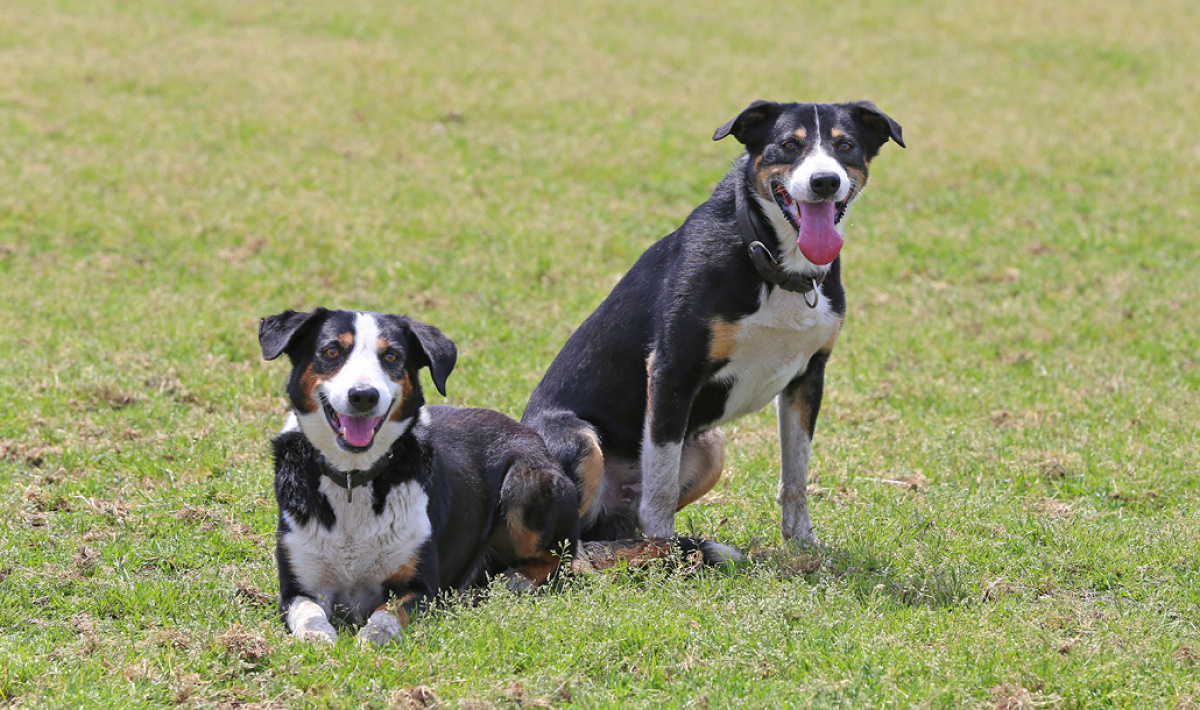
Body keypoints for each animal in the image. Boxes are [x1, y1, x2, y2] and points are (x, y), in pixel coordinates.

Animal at [260, 307, 578, 647]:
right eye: (332, 351)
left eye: (391, 356)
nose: (363, 396)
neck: (352, 478)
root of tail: (528, 432)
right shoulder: (298, 587)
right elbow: (309, 615)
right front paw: (318, 640)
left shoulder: (420, 586)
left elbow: (386, 613)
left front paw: (370, 640)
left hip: (525, 480)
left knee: (560, 556)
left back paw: (513, 580)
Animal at [520, 98, 902, 544]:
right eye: (789, 144)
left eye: (846, 146)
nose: (824, 181)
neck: (775, 264)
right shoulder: (672, 370)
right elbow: (661, 481)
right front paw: (664, 548)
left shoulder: (808, 376)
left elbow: (796, 472)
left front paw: (802, 542)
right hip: (580, 441)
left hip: (710, 448)